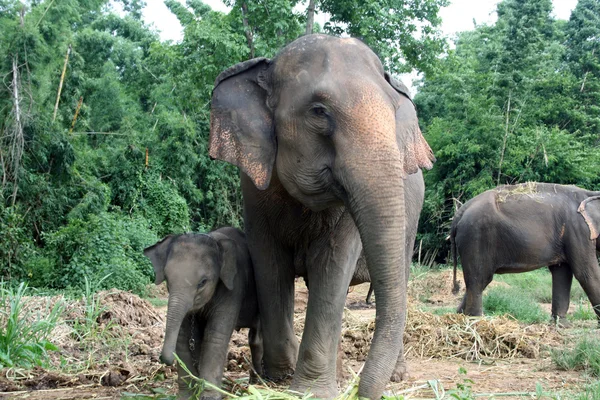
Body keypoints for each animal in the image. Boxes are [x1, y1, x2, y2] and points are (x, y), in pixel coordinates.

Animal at [144, 228, 262, 400]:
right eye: (167, 279)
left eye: (202, 282)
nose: (163, 360)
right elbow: (183, 337)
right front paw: (186, 396)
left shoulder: (234, 288)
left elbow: (214, 336)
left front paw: (210, 396)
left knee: (257, 337)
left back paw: (258, 382)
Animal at [209, 35, 434, 400]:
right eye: (318, 112)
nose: (360, 391)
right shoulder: (254, 189)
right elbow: (270, 265)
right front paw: (279, 378)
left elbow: (332, 266)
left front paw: (310, 389)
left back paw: (395, 376)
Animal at [452, 183, 600, 324]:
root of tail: (460, 212)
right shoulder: (578, 229)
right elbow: (586, 273)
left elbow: (562, 272)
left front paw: (561, 324)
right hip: (476, 237)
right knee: (478, 279)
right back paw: (476, 321)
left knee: (480, 281)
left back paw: (458, 317)